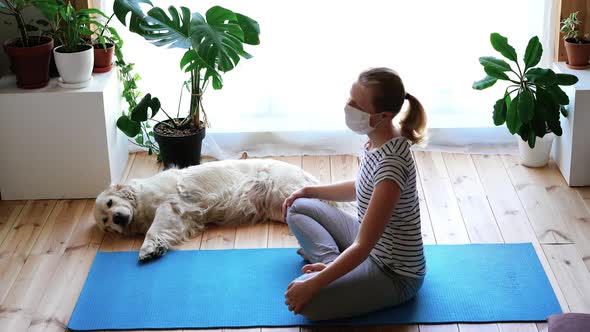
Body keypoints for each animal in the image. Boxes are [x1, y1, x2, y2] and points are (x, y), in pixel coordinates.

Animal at [95, 158, 354, 262]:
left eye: (110, 204)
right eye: (105, 223)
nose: (118, 218)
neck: (139, 203)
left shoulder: (170, 204)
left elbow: (155, 227)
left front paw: (148, 248)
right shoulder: (184, 219)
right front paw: (156, 248)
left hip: (287, 190)